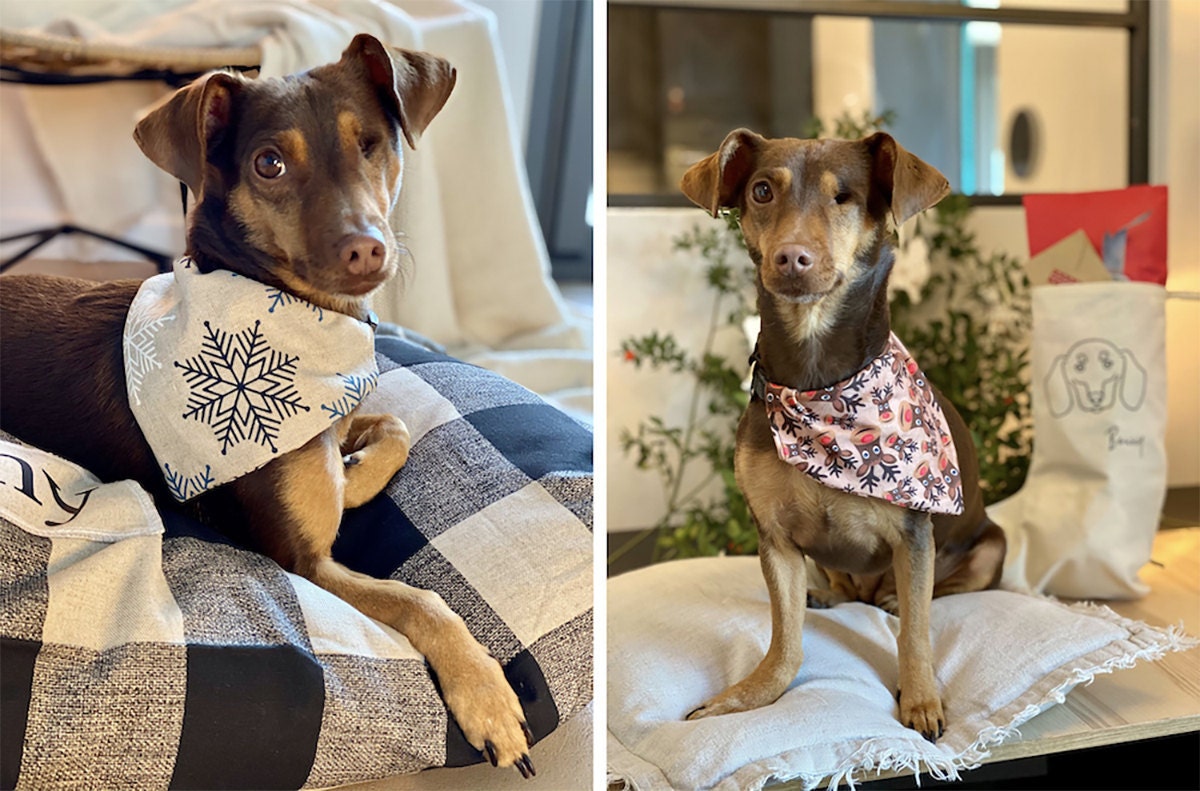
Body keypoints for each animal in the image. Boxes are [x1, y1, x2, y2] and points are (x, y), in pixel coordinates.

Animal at [0, 34, 535, 777]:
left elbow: (392, 426)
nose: (366, 249)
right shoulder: (305, 562)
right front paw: (487, 696)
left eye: (371, 143)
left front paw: (352, 476)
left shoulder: (340, 417)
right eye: (269, 164)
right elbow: (422, 599)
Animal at [681, 128, 1008, 744]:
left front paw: (921, 700)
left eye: (845, 197)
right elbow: (785, 641)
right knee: (841, 585)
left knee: (936, 595)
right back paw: (831, 594)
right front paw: (746, 698)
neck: (821, 391)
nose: (791, 256)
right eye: (762, 191)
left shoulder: (914, 536)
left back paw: (892, 600)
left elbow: (917, 634)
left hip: (988, 547)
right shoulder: (775, 539)